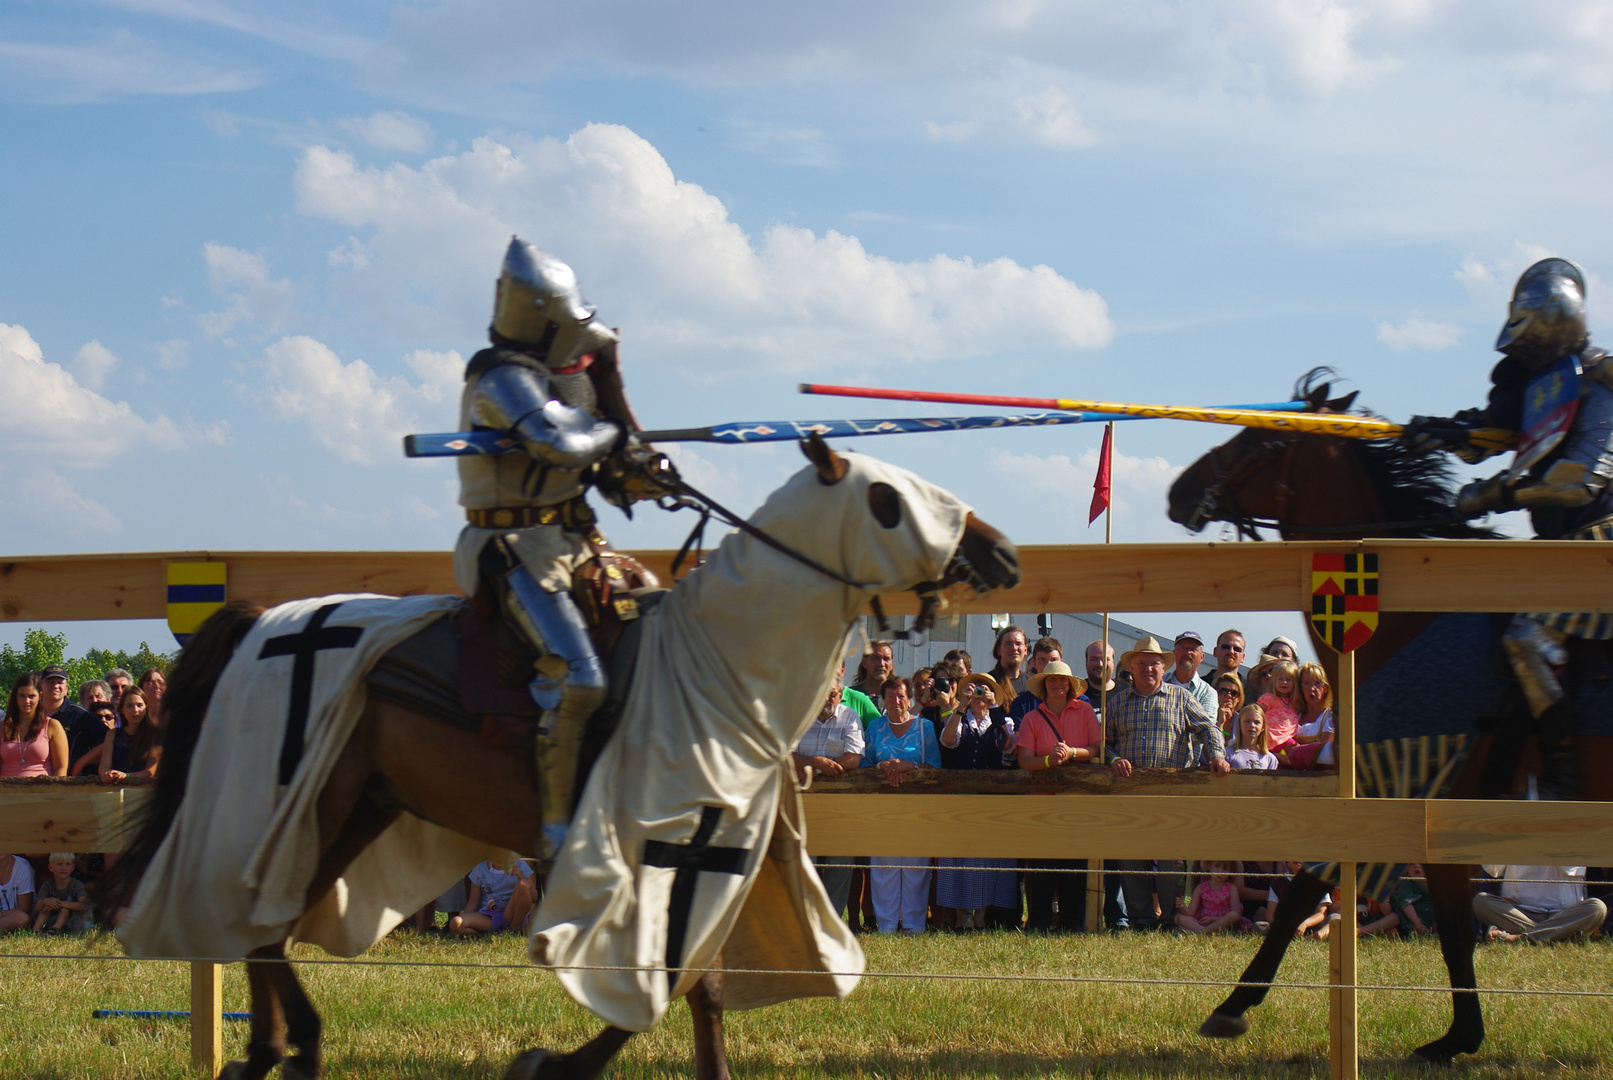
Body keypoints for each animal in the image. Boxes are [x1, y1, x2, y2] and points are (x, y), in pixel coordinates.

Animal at [97, 441, 1019, 1080]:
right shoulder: (662, 859)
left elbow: (703, 985)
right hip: (308, 800)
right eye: (887, 500)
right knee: (261, 918)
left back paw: (280, 1049)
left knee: (272, 921)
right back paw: (287, 1048)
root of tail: (263, 621)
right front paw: (548, 1064)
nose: (1001, 551)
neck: (720, 661)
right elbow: (662, 985)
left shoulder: (703, 860)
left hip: (357, 803)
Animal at [1174, 372, 1613, 1063]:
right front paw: (1459, 1036)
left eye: (1261, 441)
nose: (1179, 491)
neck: (1406, 622)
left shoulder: (1419, 793)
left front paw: (1233, 1006)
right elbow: (1438, 925)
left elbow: (1324, 897)